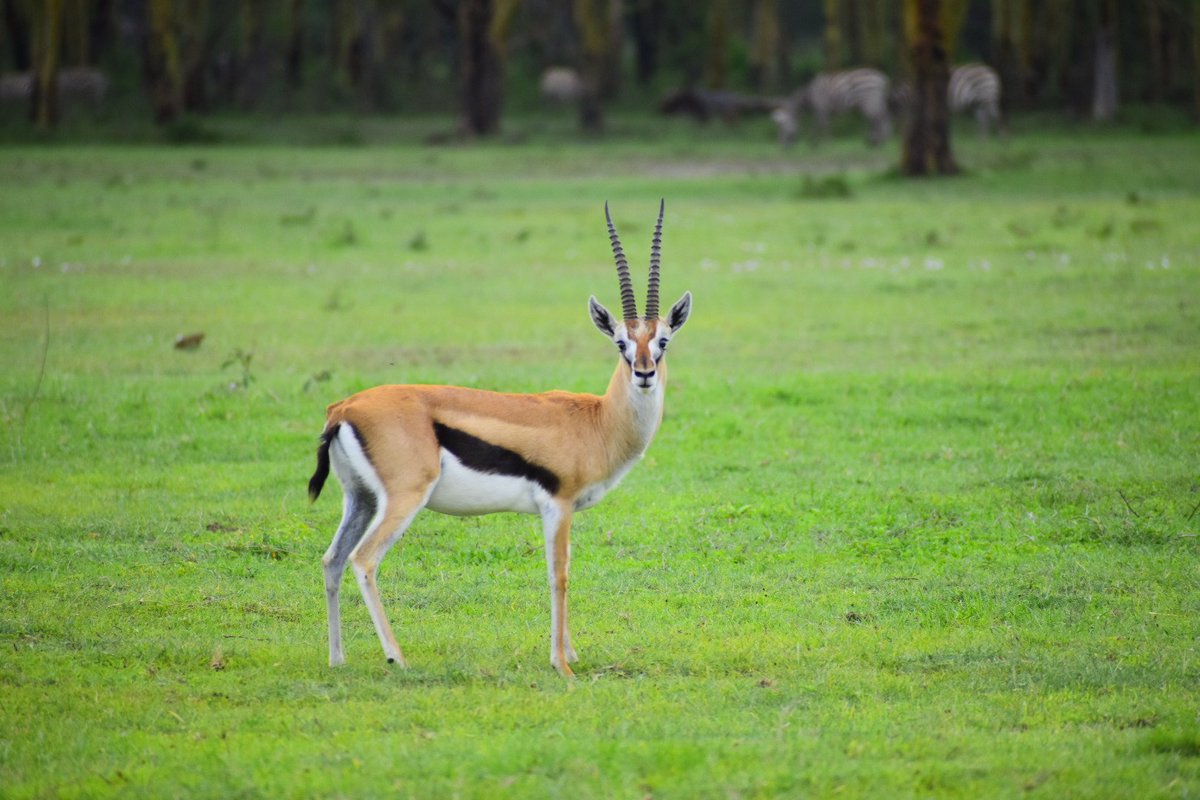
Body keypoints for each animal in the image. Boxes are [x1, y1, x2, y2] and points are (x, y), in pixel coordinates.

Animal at [307, 201, 692, 677]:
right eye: (621, 342)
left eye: (663, 341)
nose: (644, 373)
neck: (597, 421)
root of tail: (343, 408)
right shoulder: (557, 504)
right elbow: (559, 575)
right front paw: (562, 665)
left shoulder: (562, 510)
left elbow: (561, 569)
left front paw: (571, 653)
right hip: (404, 498)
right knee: (364, 560)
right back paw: (397, 656)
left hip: (359, 498)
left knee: (332, 559)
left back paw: (337, 659)